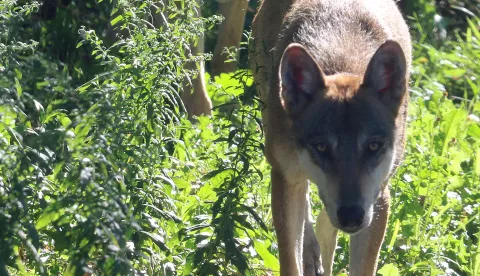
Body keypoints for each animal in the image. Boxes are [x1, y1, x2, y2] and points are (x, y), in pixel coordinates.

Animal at [249, 0, 410, 274]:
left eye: (373, 146)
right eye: (322, 147)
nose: (351, 216)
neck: (342, 64)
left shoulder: (379, 199)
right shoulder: (284, 175)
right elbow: (290, 261)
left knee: (324, 224)